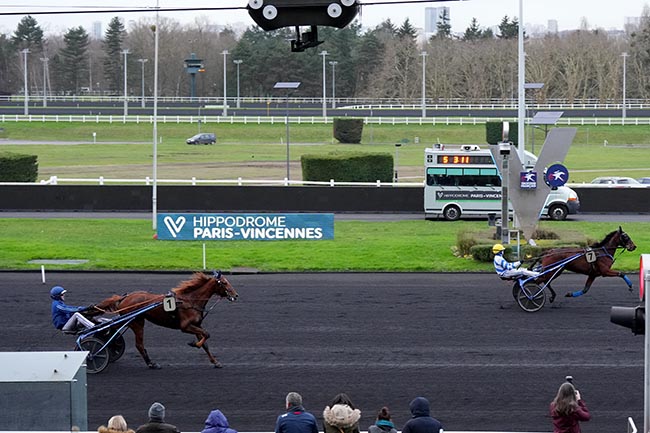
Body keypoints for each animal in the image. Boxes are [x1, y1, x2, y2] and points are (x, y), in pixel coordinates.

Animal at [93, 270, 238, 368]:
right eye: (224, 282)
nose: (236, 295)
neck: (190, 300)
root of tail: (124, 297)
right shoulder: (185, 326)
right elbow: (206, 335)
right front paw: (194, 344)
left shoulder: (197, 325)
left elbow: (205, 342)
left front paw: (215, 362)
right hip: (137, 322)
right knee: (139, 344)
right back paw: (151, 363)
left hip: (130, 320)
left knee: (112, 329)